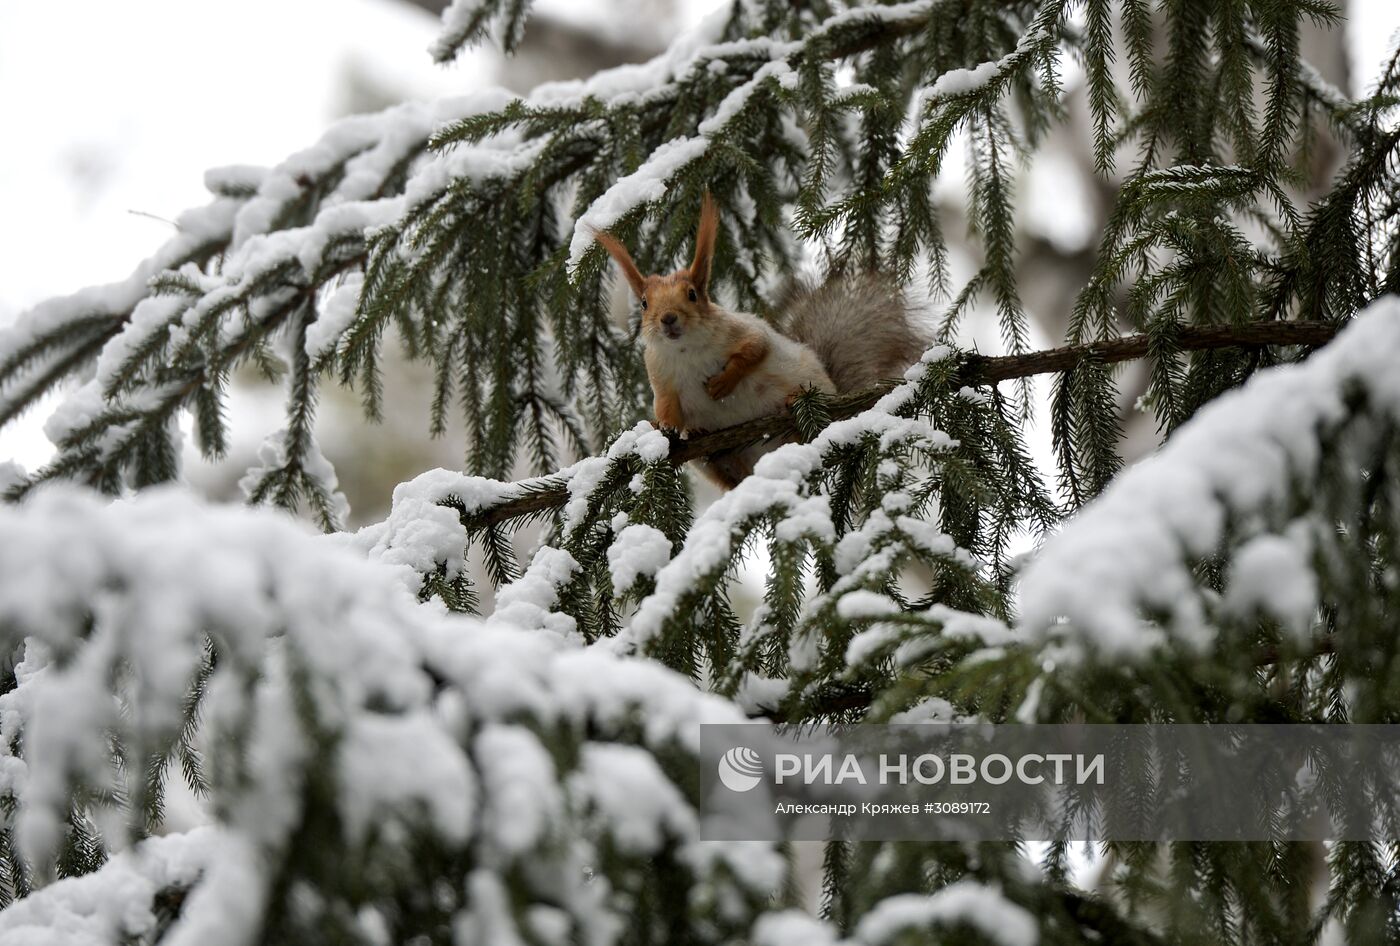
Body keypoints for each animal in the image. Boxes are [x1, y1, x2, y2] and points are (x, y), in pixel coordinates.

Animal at [596, 191, 924, 486]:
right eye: (644, 303)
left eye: (692, 294)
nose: (668, 318)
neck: (686, 351)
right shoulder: (659, 374)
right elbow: (665, 404)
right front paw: (666, 426)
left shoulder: (741, 329)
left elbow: (754, 350)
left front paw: (724, 383)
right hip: (724, 465)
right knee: (727, 472)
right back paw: (706, 442)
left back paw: (793, 403)